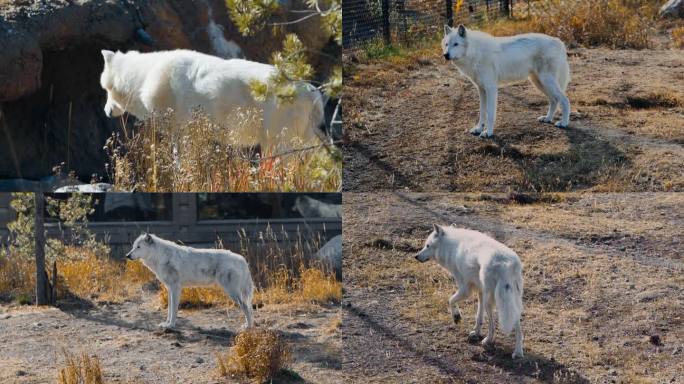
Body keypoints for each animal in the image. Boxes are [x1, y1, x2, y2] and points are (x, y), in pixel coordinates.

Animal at [99, 50, 326, 152]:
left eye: (106, 89)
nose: (106, 111)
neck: (144, 77)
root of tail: (312, 92)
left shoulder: (180, 131)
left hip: (277, 141)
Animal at [125, 234, 254, 330]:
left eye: (139, 247)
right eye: (133, 246)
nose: (127, 255)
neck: (160, 256)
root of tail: (241, 259)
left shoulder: (175, 288)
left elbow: (174, 310)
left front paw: (171, 326)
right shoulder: (170, 289)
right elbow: (169, 309)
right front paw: (166, 323)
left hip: (233, 293)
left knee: (247, 308)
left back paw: (248, 327)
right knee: (249, 308)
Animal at [416, 224, 524, 358]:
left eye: (428, 245)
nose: (416, 256)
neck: (451, 246)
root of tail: (507, 263)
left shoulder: (465, 290)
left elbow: (450, 300)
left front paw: (456, 317)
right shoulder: (480, 292)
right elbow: (479, 317)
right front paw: (476, 333)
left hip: (490, 302)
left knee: (493, 326)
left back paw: (488, 341)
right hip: (511, 301)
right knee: (518, 327)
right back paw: (518, 352)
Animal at [440, 24, 568, 138]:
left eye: (456, 44)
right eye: (446, 44)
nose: (445, 55)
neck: (475, 53)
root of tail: (557, 40)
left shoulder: (491, 89)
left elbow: (490, 114)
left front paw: (488, 132)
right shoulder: (481, 90)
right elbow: (482, 112)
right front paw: (478, 129)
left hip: (546, 81)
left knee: (564, 100)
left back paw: (564, 123)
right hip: (539, 83)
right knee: (554, 100)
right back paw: (547, 119)